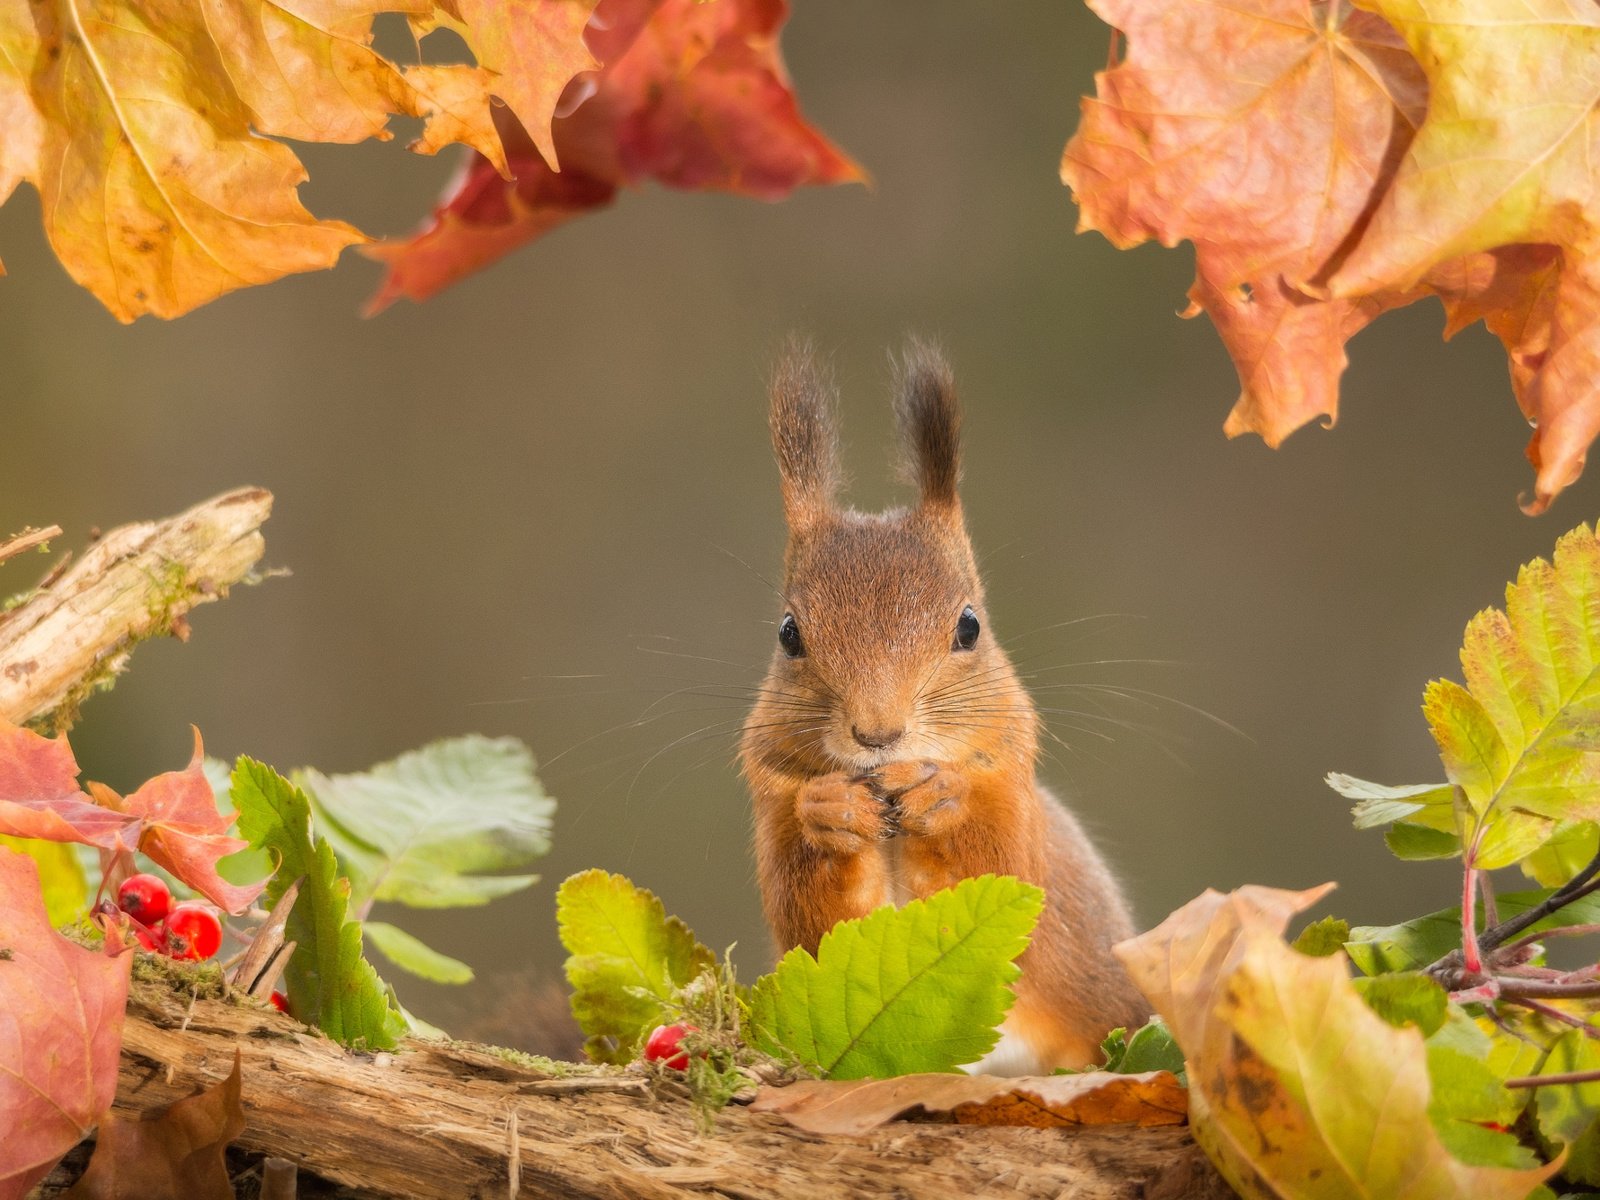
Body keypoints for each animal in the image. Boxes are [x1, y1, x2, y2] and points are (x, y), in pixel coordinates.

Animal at [736, 342, 1152, 1075]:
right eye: (788, 634)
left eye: (969, 626)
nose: (878, 733)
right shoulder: (773, 806)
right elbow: (818, 925)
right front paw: (829, 811)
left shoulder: (1012, 793)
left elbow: (1002, 870)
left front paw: (942, 794)